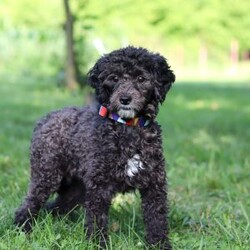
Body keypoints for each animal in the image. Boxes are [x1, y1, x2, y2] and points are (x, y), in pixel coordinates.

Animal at [14, 46, 176, 248]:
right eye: (114, 78)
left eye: (141, 78)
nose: (125, 99)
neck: (127, 128)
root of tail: (46, 119)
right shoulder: (99, 188)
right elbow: (97, 220)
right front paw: (98, 244)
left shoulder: (154, 185)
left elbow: (157, 219)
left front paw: (159, 245)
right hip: (46, 176)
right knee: (29, 205)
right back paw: (22, 229)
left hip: (77, 188)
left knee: (56, 207)